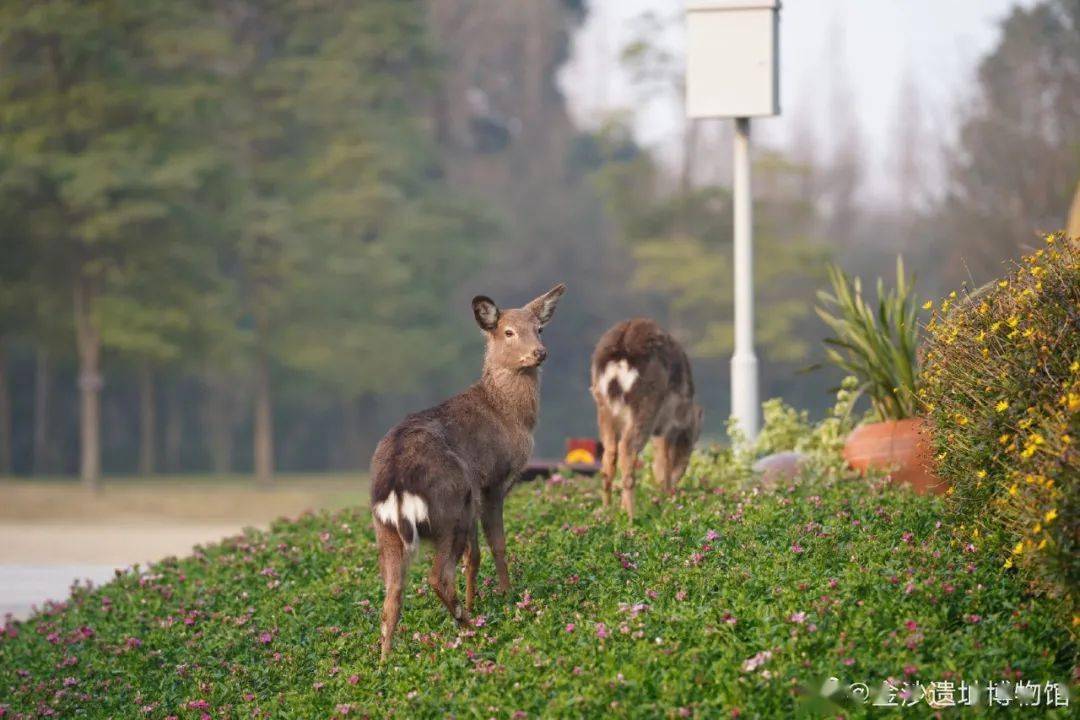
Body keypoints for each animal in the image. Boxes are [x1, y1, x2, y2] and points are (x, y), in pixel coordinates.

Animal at [371, 280, 565, 660]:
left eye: (540, 328)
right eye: (508, 332)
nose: (540, 352)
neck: (509, 415)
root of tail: (397, 489)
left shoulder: (474, 496)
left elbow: (473, 557)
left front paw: (478, 600)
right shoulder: (492, 481)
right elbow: (497, 544)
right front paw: (507, 597)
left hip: (386, 528)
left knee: (391, 593)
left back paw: (386, 659)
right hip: (448, 511)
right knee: (437, 577)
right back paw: (468, 626)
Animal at [591, 317, 699, 520]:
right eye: (690, 442)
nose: (678, 478)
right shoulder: (668, 423)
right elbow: (664, 457)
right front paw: (666, 496)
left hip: (603, 407)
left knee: (610, 454)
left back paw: (607, 510)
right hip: (646, 405)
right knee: (627, 448)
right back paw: (631, 516)